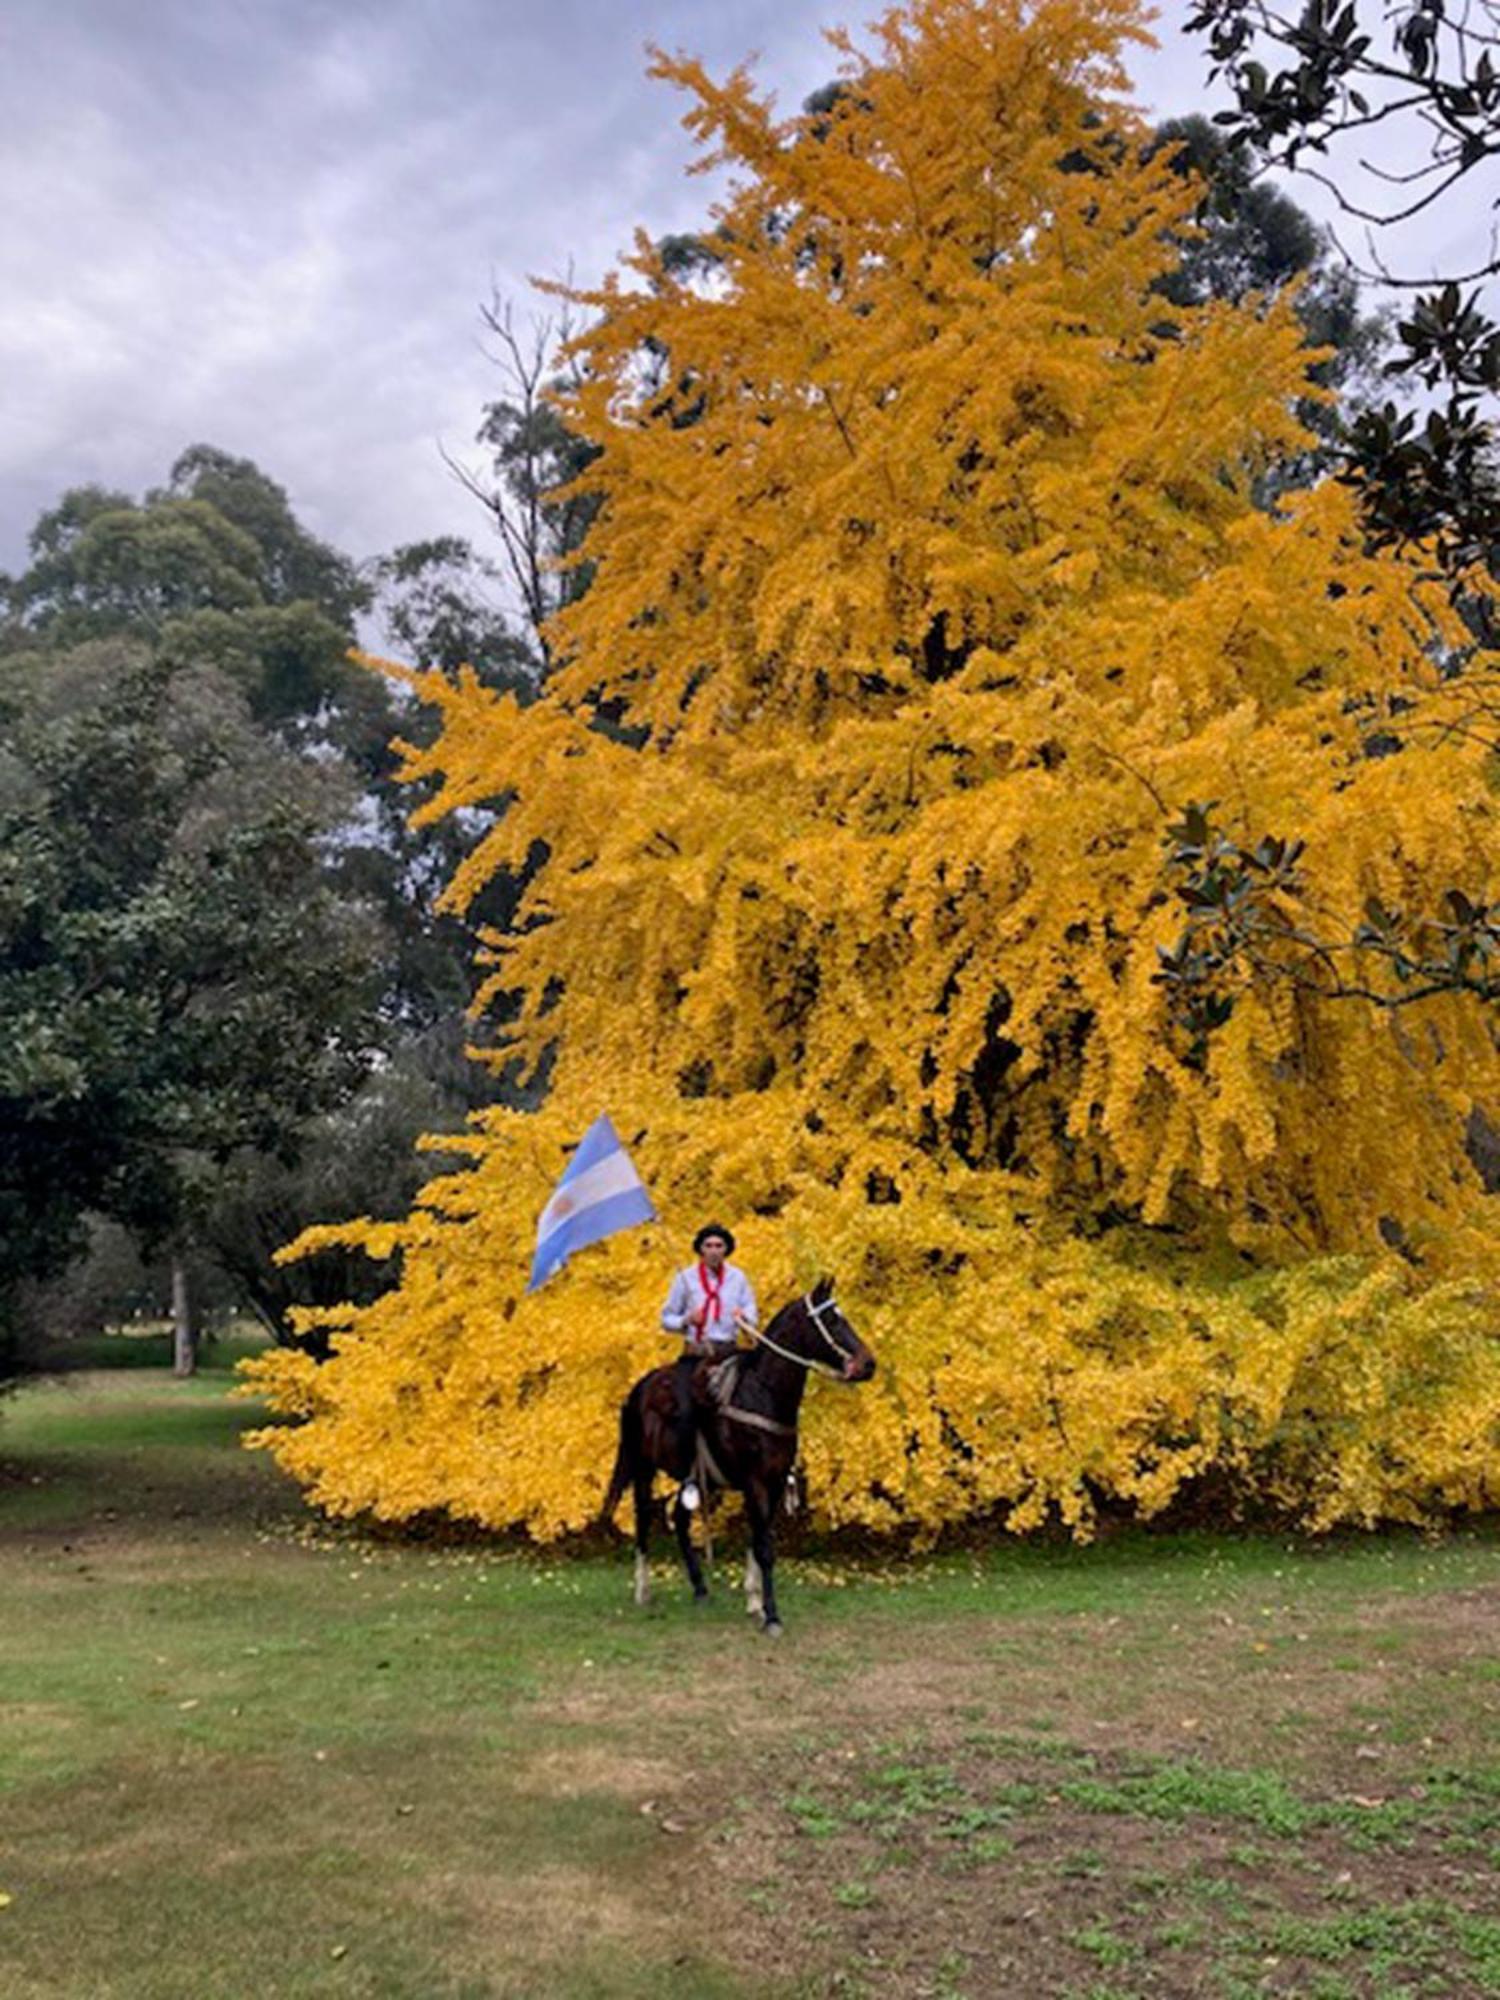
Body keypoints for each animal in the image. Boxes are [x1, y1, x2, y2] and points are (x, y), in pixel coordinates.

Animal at [604, 1280, 876, 1640]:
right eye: (831, 1319)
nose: (867, 1364)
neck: (764, 1395)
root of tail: (638, 1390)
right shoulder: (755, 1482)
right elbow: (765, 1549)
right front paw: (772, 1616)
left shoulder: (774, 1483)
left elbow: (756, 1542)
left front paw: (755, 1603)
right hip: (642, 1470)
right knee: (643, 1521)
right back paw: (642, 1591)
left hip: (694, 1479)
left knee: (680, 1519)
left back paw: (700, 1589)